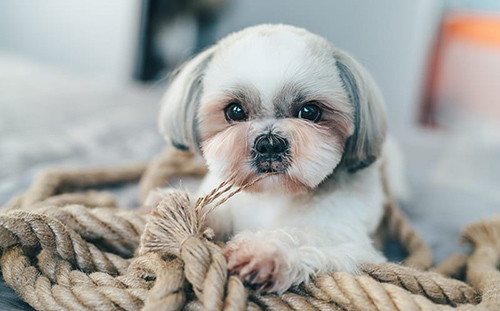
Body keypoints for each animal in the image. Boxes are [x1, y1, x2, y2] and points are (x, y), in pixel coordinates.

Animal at [154, 24, 404, 294]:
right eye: (235, 111)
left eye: (310, 111)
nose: (269, 143)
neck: (274, 195)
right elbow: (215, 211)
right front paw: (177, 207)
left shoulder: (350, 241)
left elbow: (305, 235)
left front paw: (263, 250)